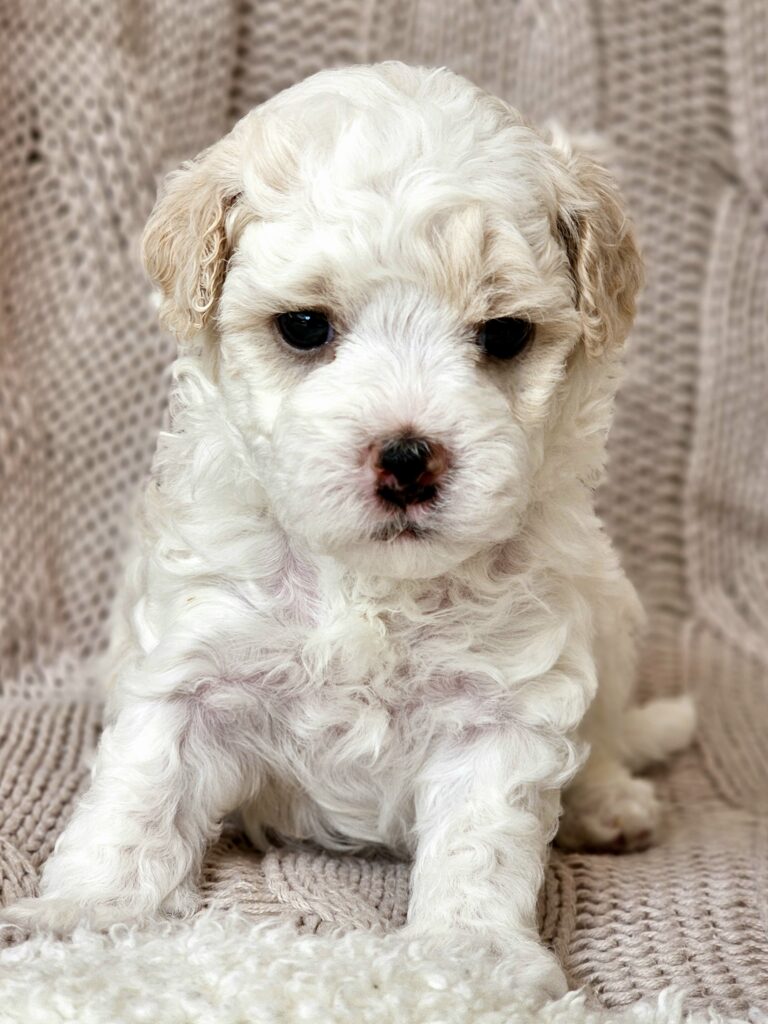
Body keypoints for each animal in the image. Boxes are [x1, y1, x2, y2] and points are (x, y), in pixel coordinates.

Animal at [1, 61, 696, 999]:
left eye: (505, 335)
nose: (408, 458)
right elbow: (140, 799)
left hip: (612, 617)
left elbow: (482, 845)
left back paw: (609, 802)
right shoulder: (191, 666)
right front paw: (87, 913)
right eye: (304, 327)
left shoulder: (503, 709)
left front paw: (471, 955)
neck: (365, 583)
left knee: (612, 733)